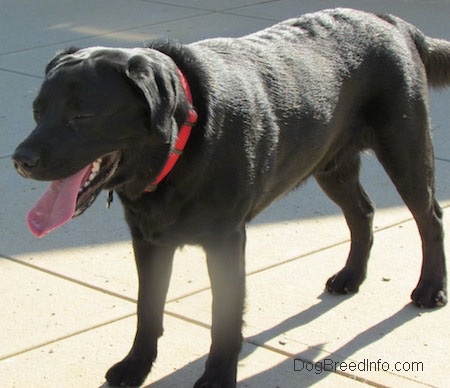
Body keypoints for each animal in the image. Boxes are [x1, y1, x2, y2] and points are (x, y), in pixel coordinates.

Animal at [12, 7, 448, 386]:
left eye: (82, 116)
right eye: (37, 111)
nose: (20, 160)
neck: (182, 146)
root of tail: (389, 19)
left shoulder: (225, 241)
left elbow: (223, 317)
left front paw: (218, 377)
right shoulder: (147, 239)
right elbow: (147, 309)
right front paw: (135, 367)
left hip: (404, 148)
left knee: (430, 218)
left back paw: (430, 288)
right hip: (331, 163)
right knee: (363, 212)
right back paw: (351, 276)